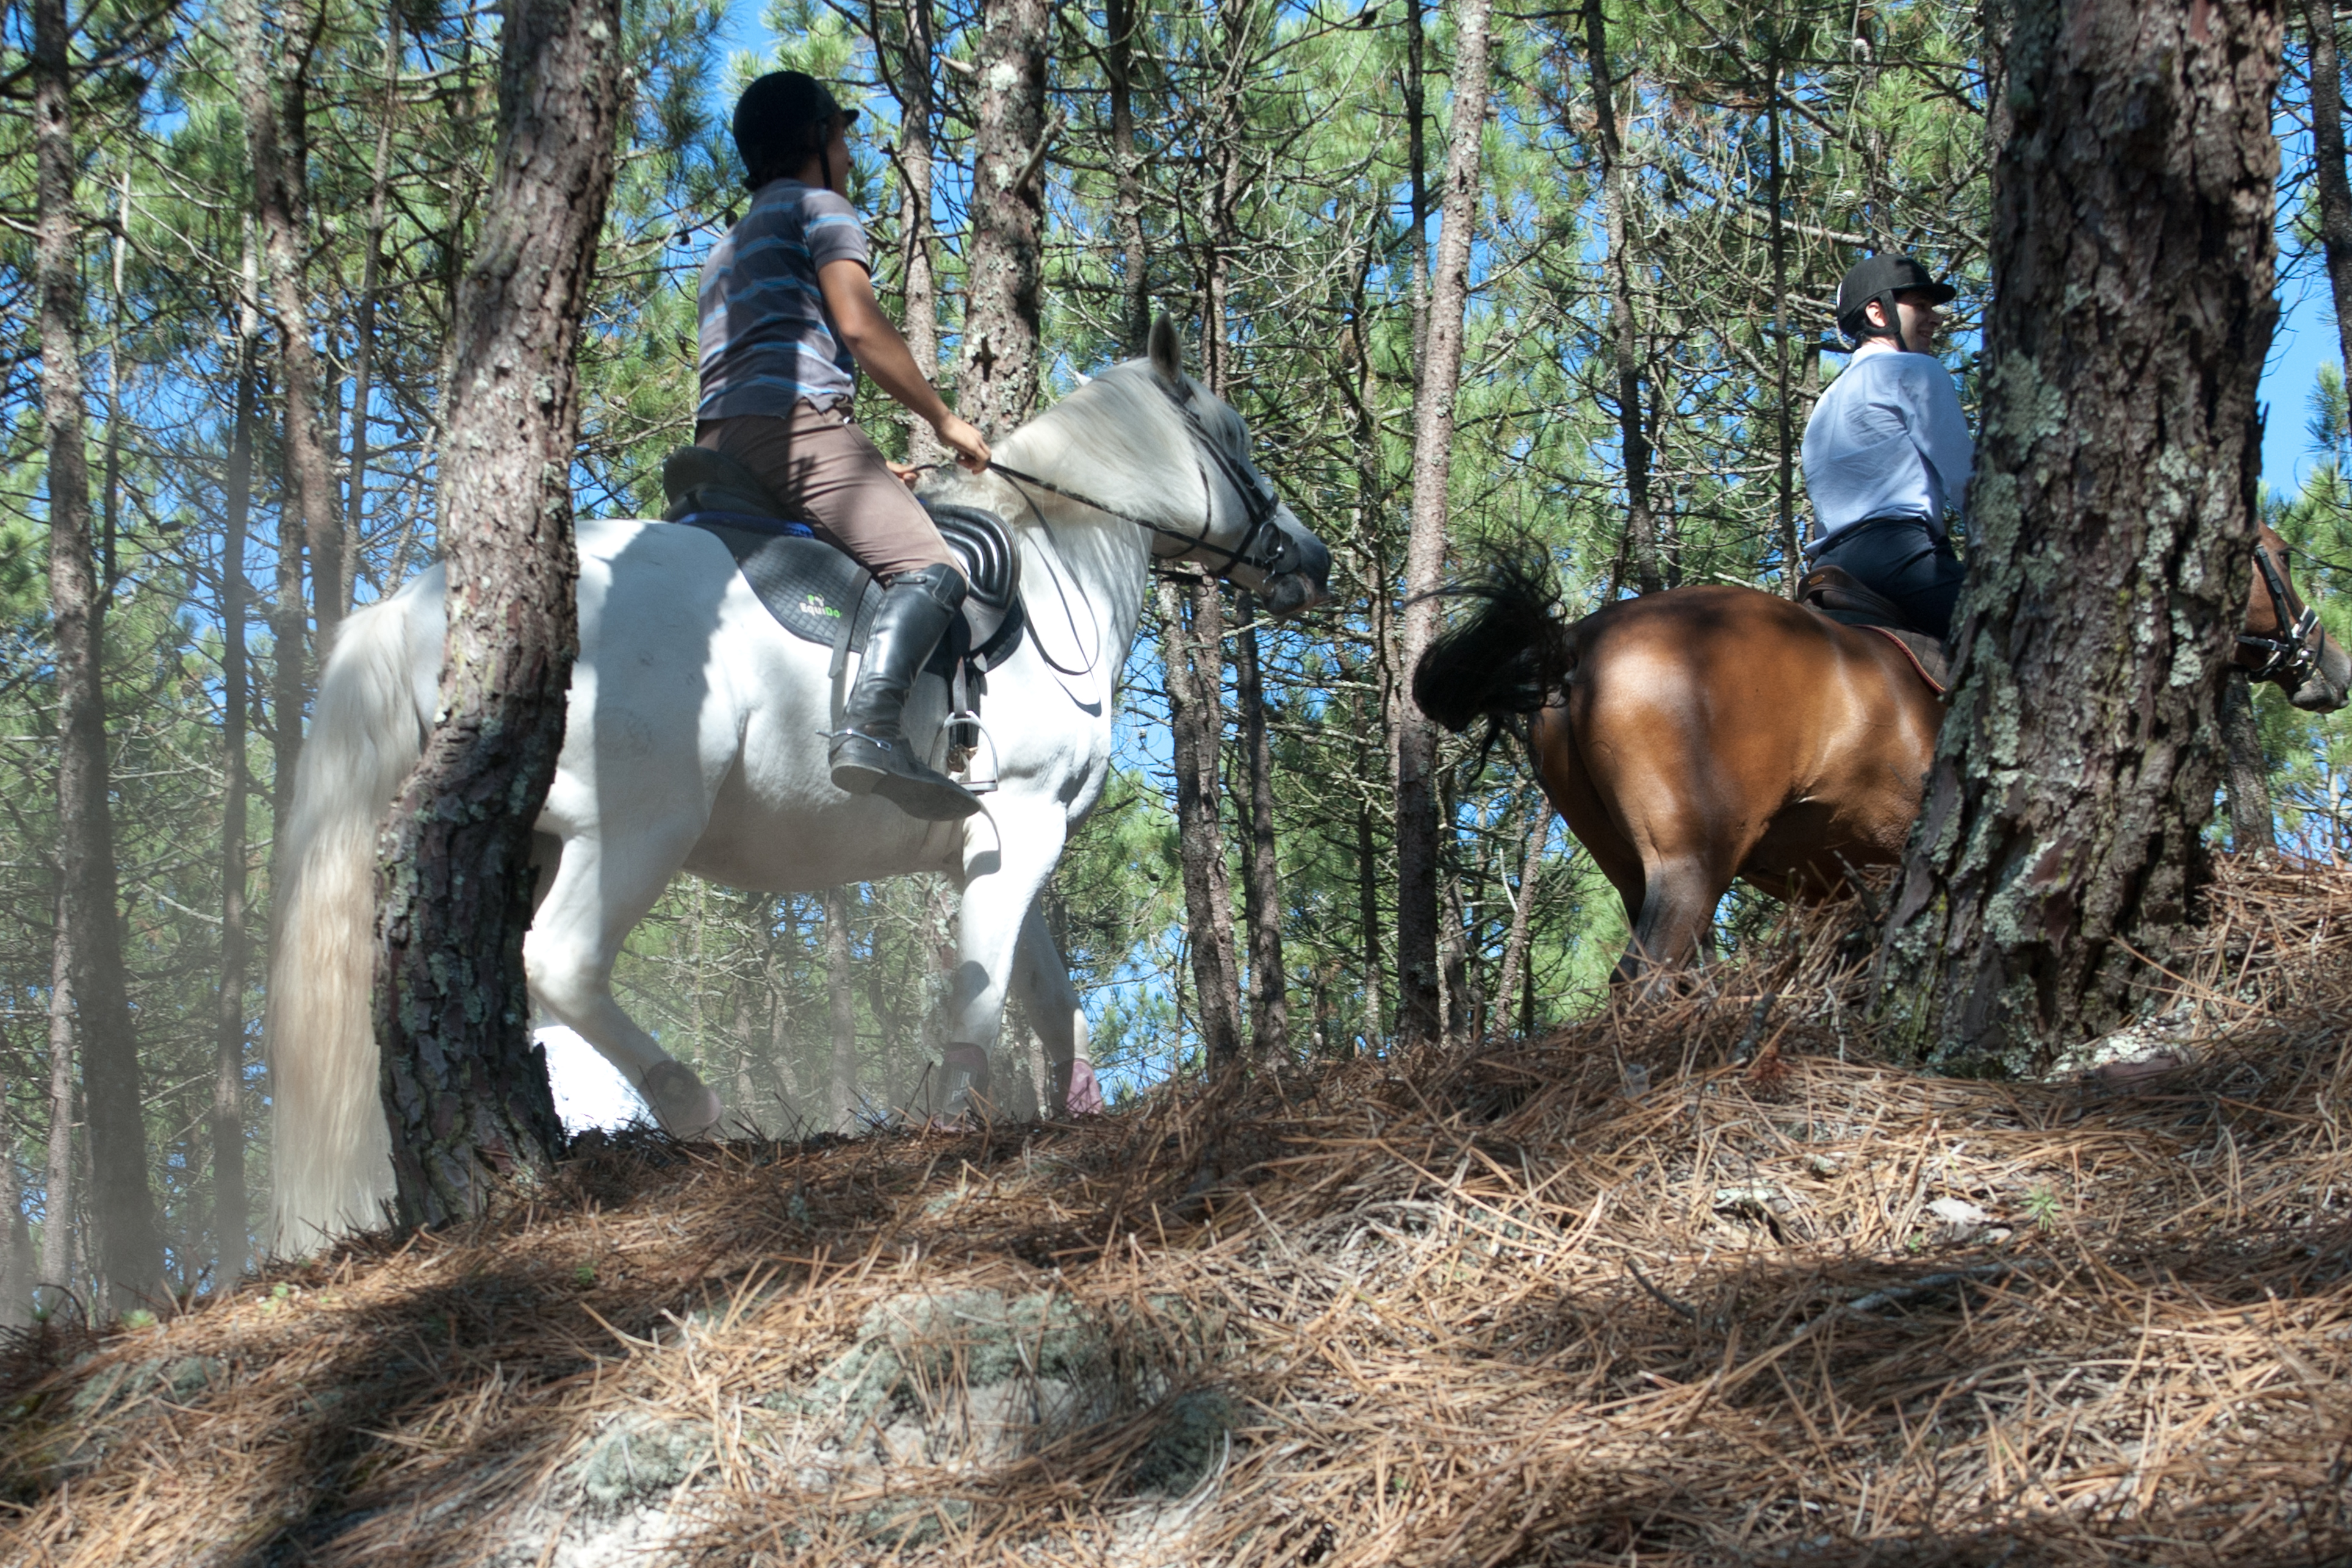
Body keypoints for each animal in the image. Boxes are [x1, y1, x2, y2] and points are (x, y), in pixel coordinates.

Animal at [268, 318, 1331, 1254]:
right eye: (1233, 440)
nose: (1312, 561)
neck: (1050, 576)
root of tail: (420, 606)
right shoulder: (1022, 826)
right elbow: (982, 995)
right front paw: (954, 1123)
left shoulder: (996, 848)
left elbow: (1044, 993)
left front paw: (1074, 1110)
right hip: (638, 825)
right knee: (563, 962)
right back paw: (693, 1104)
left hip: (525, 843)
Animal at [1412, 525, 2348, 983]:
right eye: (2277, 554)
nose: (2329, 666)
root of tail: (1572, 643)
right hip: (1690, 862)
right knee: (1639, 981)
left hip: (1630, 867)